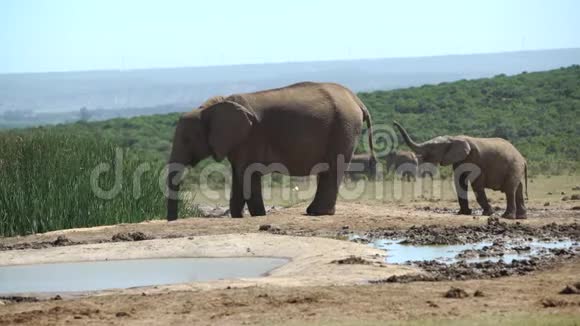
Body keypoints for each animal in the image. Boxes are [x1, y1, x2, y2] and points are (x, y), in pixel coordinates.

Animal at [165, 81, 378, 222]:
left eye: (187, 139)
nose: (173, 220)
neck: (209, 108)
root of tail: (357, 101)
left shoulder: (251, 137)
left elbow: (248, 174)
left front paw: (258, 215)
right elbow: (238, 175)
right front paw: (238, 216)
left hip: (343, 126)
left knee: (332, 167)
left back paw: (317, 213)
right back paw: (316, 212)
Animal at [392, 120, 528, 219]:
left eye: (432, 148)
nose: (393, 122)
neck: (453, 139)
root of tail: (523, 159)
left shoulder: (476, 160)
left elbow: (476, 183)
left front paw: (488, 213)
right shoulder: (459, 159)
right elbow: (459, 181)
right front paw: (463, 213)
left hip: (514, 167)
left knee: (510, 189)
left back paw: (507, 217)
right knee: (518, 189)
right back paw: (521, 217)